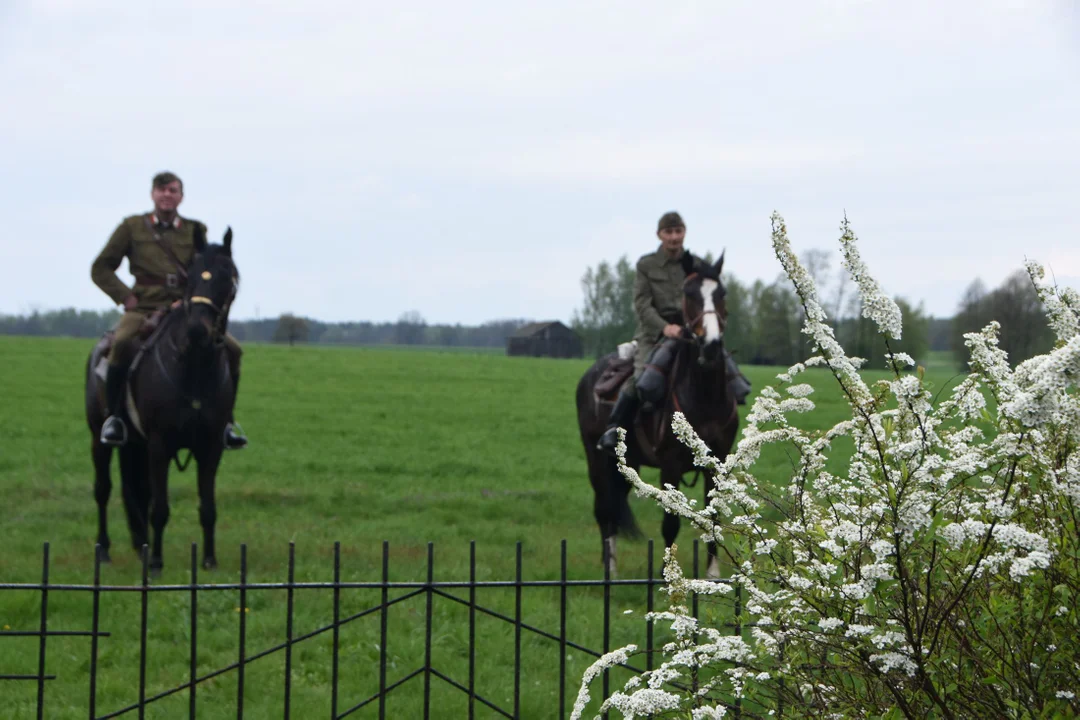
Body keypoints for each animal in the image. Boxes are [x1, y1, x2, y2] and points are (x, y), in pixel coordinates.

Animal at [578, 253, 738, 578]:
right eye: (690, 294)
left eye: (722, 293)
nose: (711, 345)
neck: (705, 396)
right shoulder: (670, 466)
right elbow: (670, 524)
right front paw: (668, 576)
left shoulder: (718, 462)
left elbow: (714, 517)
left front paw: (713, 575)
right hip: (596, 458)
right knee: (604, 510)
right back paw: (610, 571)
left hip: (626, 464)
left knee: (614, 507)